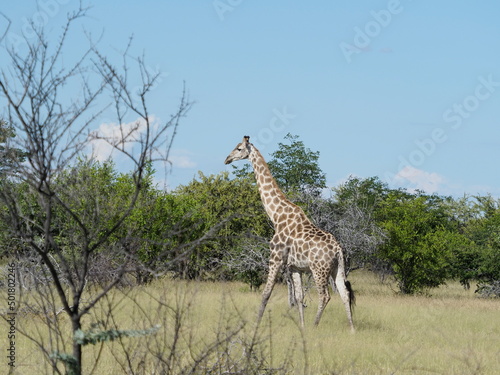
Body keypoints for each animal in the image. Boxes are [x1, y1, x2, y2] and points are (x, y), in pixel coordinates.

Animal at [223, 137, 356, 330]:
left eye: (239, 148)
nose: (227, 159)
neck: (276, 215)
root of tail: (338, 249)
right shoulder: (294, 267)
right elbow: (299, 298)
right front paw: (301, 326)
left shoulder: (275, 257)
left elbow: (266, 293)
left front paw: (255, 325)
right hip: (337, 268)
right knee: (344, 293)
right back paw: (352, 329)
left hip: (319, 269)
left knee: (325, 296)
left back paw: (315, 325)